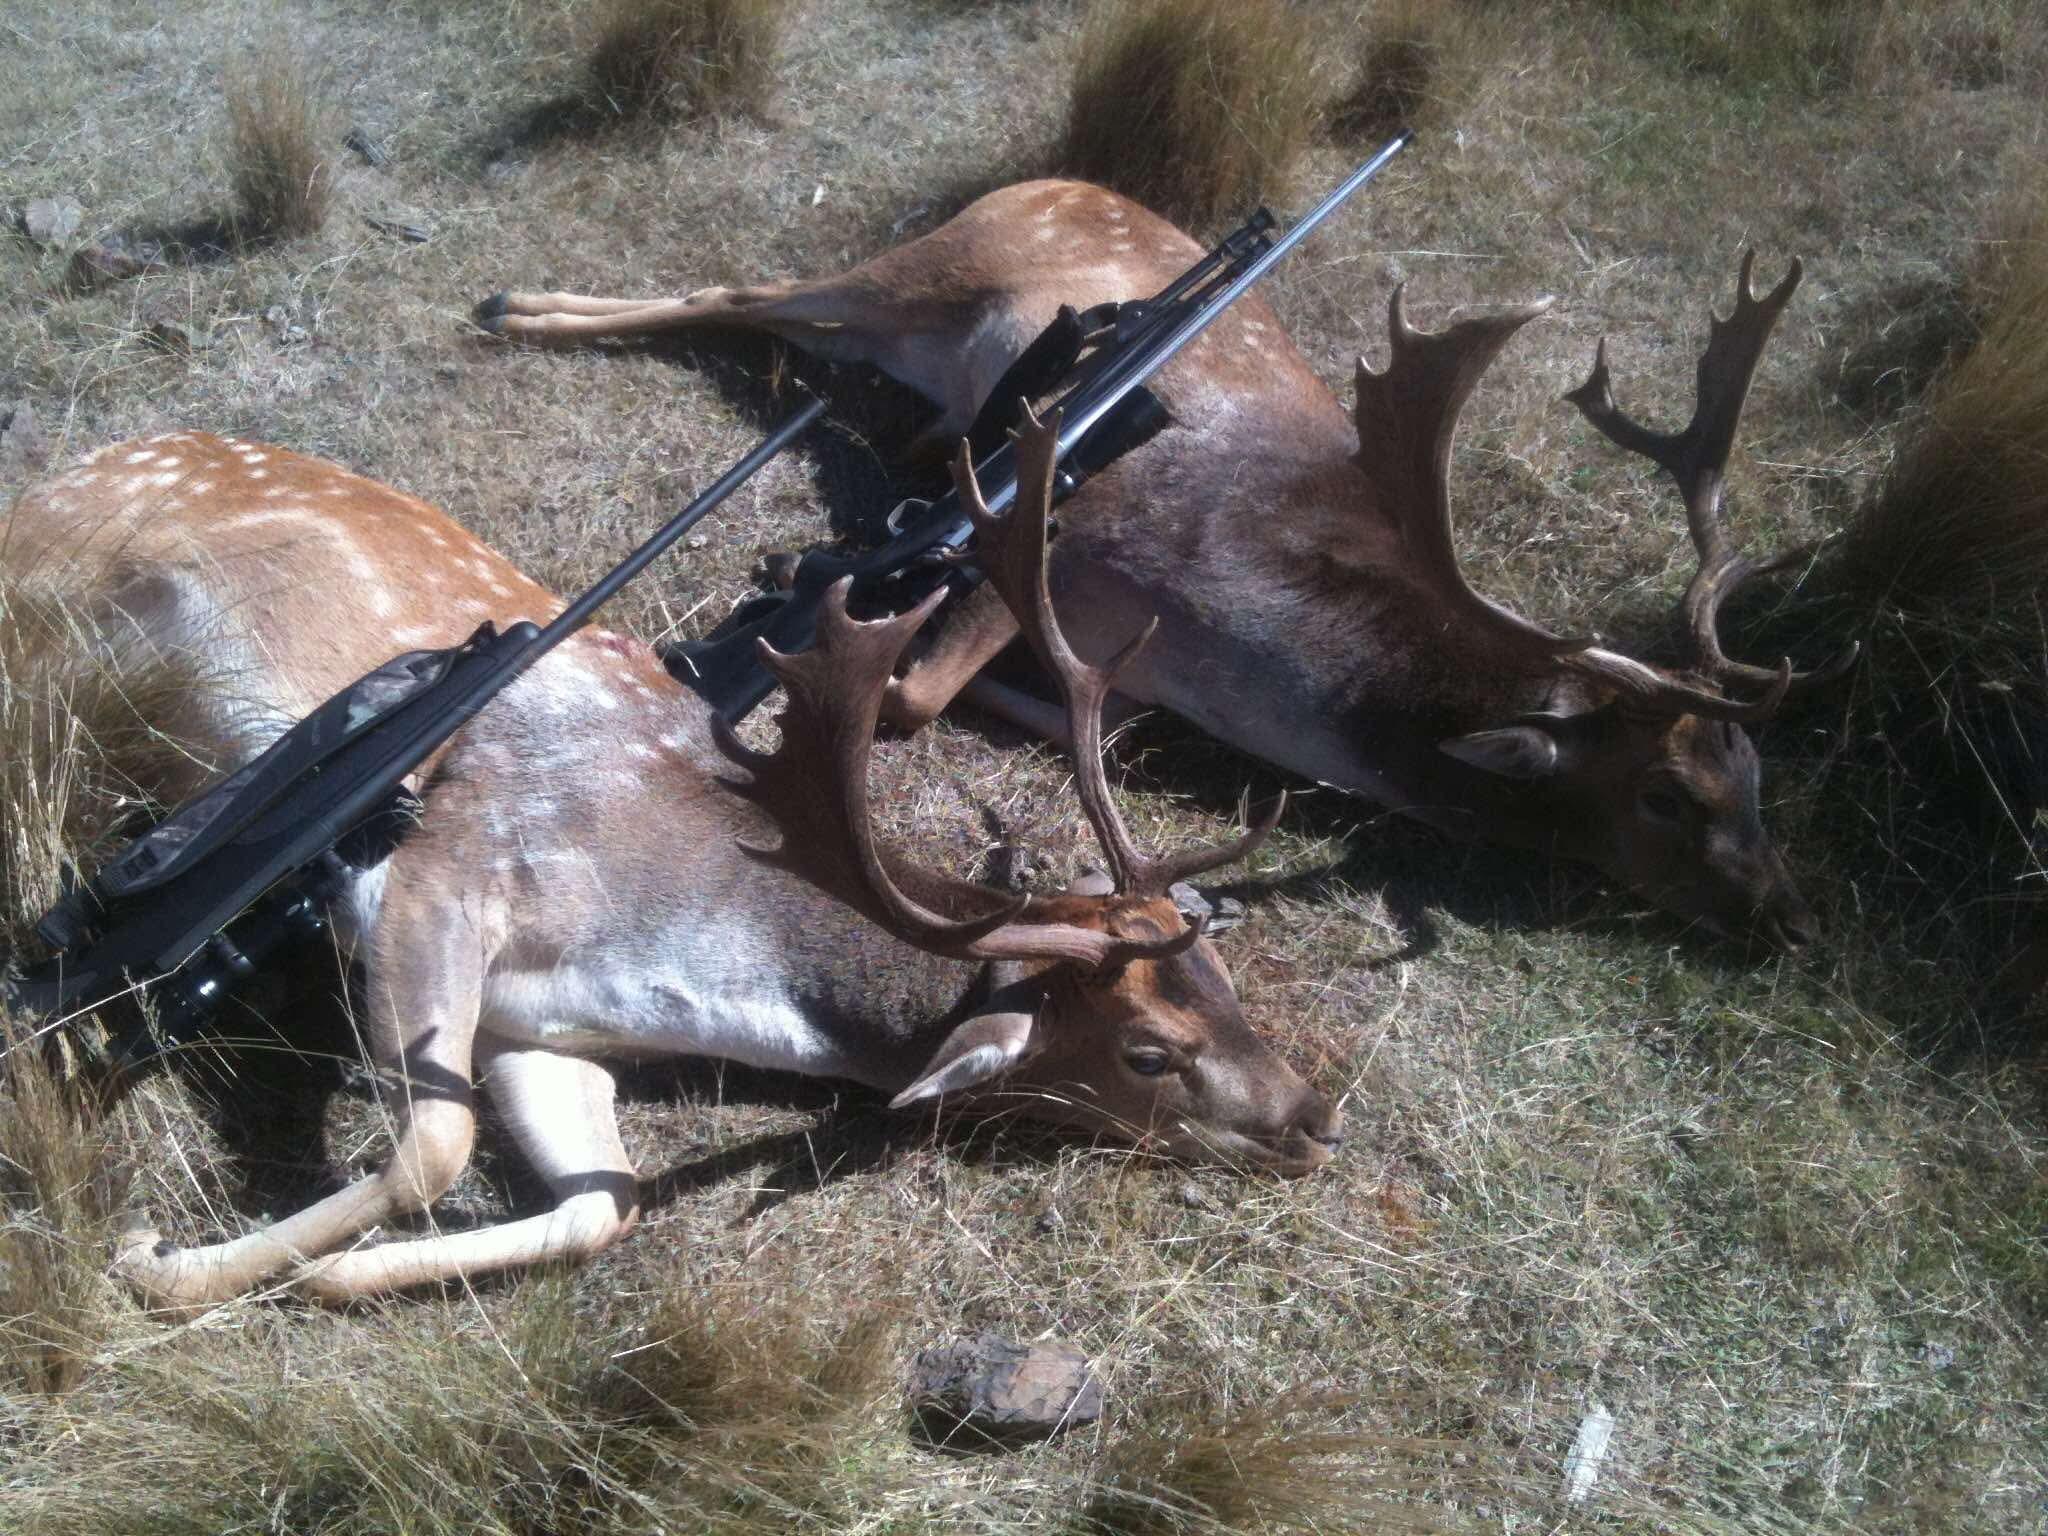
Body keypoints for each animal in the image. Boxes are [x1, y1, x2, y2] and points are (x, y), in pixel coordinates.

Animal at [0, 408, 1339, 1315]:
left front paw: (333, 1277)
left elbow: (606, 1202)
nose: (1312, 1119)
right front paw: (156, 1260)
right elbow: (434, 1148)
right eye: (1146, 1052)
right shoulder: (444, 869)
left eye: (1224, 981)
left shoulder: (537, 1029)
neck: (690, 950)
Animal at [477, 181, 1856, 951]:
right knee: (740, 284)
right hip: (926, 269)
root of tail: (1056, 173)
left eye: (1754, 773)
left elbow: (1096, 722)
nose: (1791, 918)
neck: (1258, 664)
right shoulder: (1070, 529)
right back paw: (512, 309)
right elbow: (918, 690)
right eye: (1663, 796)